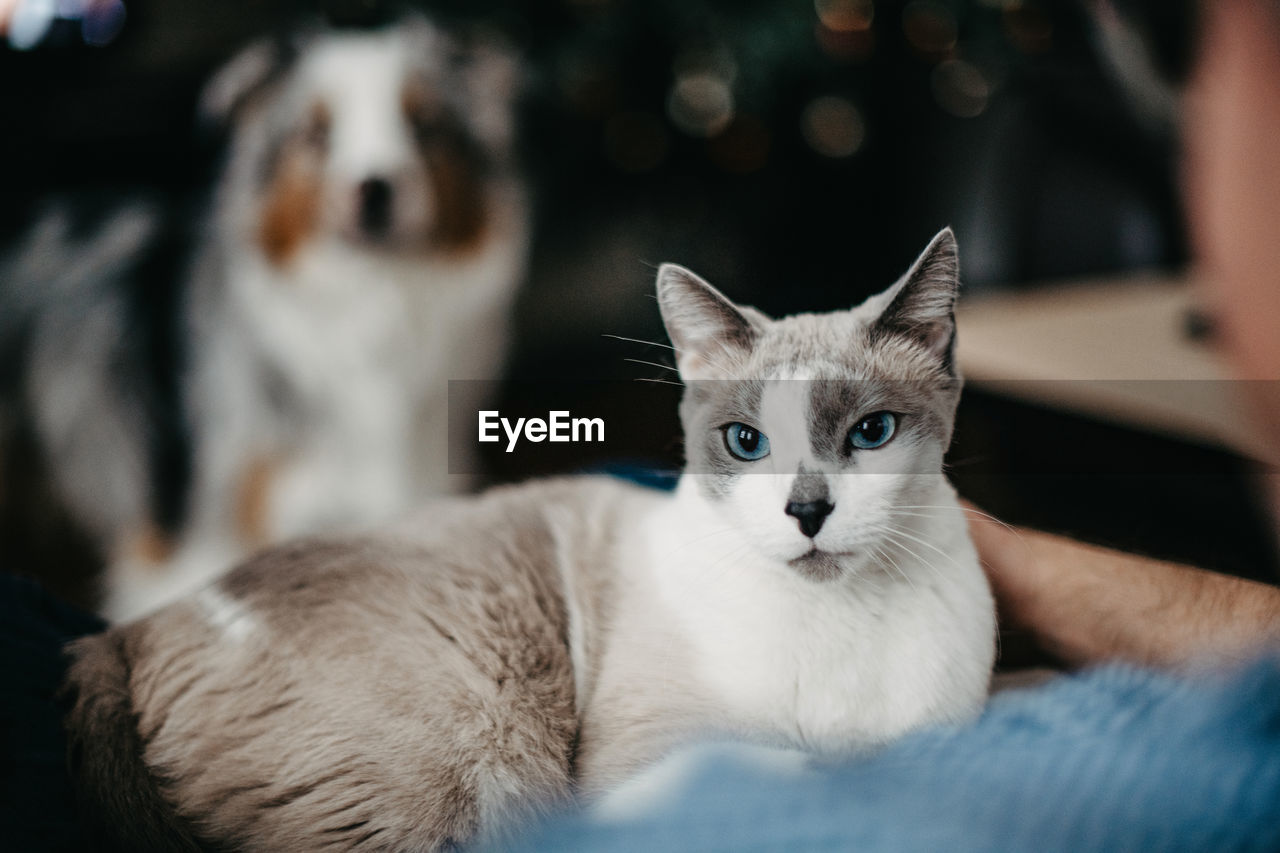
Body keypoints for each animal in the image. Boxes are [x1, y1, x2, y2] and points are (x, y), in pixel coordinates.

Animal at [62, 225, 998, 850]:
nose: (807, 511)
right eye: (745, 443)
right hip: (458, 776)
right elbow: (784, 776)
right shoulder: (649, 763)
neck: (839, 624)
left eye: (871, 433)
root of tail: (129, 630)